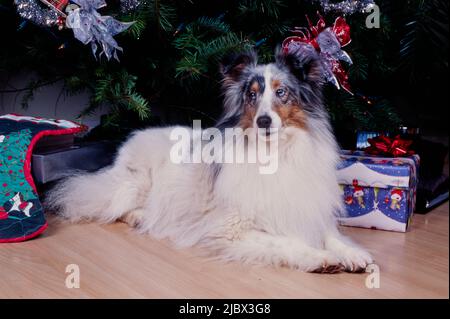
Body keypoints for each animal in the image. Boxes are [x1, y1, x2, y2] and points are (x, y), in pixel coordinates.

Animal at [47, 46, 374, 274]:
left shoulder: (308, 208)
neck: (275, 153)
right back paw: (141, 216)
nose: (264, 122)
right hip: (134, 184)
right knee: (112, 205)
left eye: (281, 92)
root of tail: (131, 139)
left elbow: (329, 234)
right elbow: (286, 240)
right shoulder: (231, 228)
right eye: (252, 95)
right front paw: (320, 257)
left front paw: (352, 253)